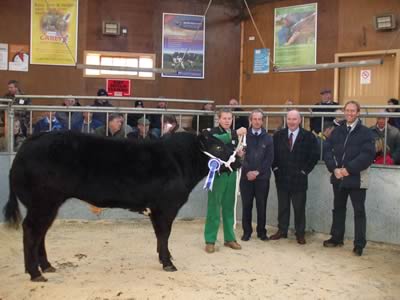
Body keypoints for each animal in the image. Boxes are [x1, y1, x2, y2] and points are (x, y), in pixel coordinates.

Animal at [3, 130, 238, 280]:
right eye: (218, 145)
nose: (239, 161)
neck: (179, 161)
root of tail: (32, 140)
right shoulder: (165, 207)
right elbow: (164, 234)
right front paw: (168, 263)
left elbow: (161, 236)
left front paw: (166, 257)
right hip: (43, 202)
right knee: (31, 231)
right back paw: (35, 273)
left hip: (48, 205)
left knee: (40, 233)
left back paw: (47, 266)